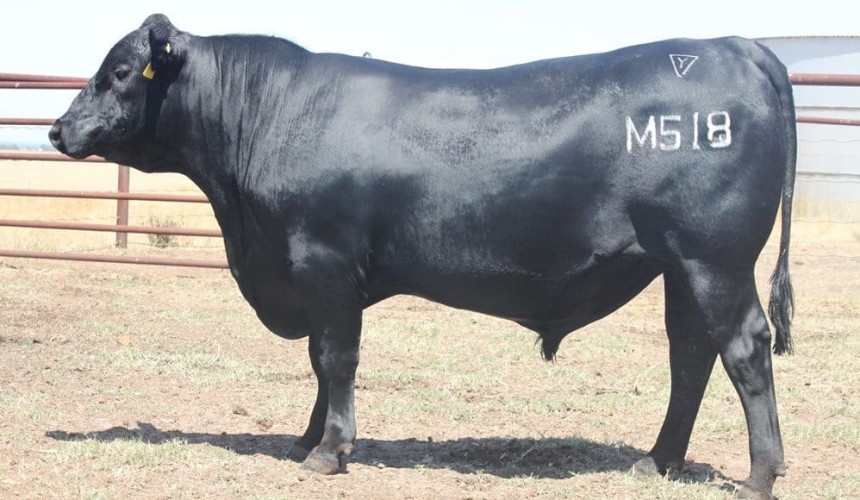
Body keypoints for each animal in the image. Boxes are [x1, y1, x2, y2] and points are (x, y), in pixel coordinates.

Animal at [49, 14, 796, 499]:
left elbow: (335, 358)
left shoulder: (323, 262)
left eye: (120, 71)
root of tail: (735, 46)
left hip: (715, 258)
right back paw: (658, 461)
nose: (57, 129)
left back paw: (760, 475)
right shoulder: (313, 276)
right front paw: (307, 438)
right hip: (679, 266)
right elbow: (318, 361)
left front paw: (330, 451)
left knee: (743, 349)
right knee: (690, 354)